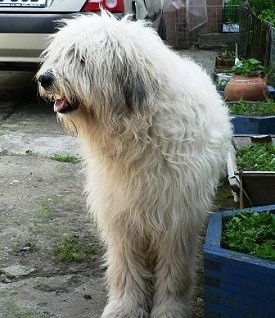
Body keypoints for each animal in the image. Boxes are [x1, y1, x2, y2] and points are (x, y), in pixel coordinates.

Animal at [36, 11, 233, 316]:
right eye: (58, 55)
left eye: (81, 58)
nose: (44, 78)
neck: (136, 130)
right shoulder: (122, 217)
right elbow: (125, 268)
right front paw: (125, 306)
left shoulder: (176, 219)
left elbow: (174, 272)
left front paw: (169, 309)